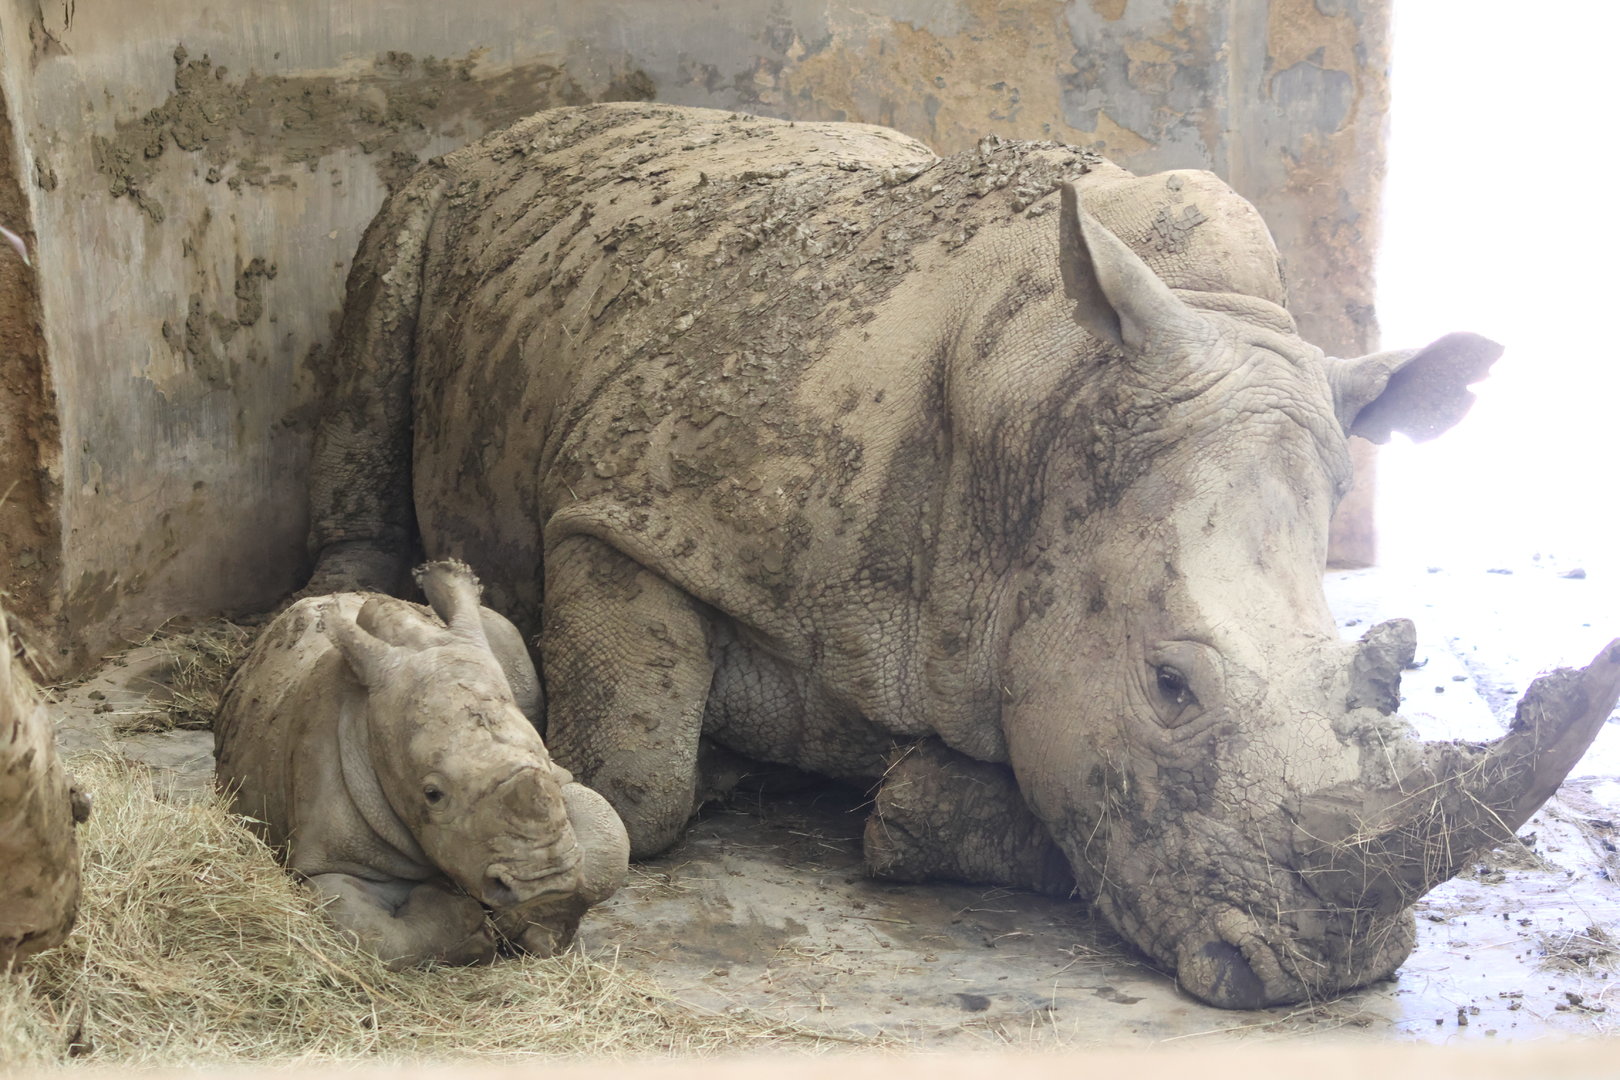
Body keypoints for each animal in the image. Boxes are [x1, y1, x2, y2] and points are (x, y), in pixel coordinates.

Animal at [214, 560, 629, 966]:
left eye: (545, 755)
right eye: (432, 794)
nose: (544, 883)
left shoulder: (557, 780)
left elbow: (610, 840)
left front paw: (539, 927)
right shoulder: (332, 855)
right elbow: (370, 933)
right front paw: (467, 924)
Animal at [302, 102, 1620, 1006]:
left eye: (1387, 679)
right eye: (1169, 686)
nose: (1321, 968)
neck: (1039, 414)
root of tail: (542, 121)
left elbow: (1039, 786)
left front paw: (906, 803)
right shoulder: (627, 510)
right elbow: (638, 781)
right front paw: (710, 772)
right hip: (435, 195)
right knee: (381, 296)